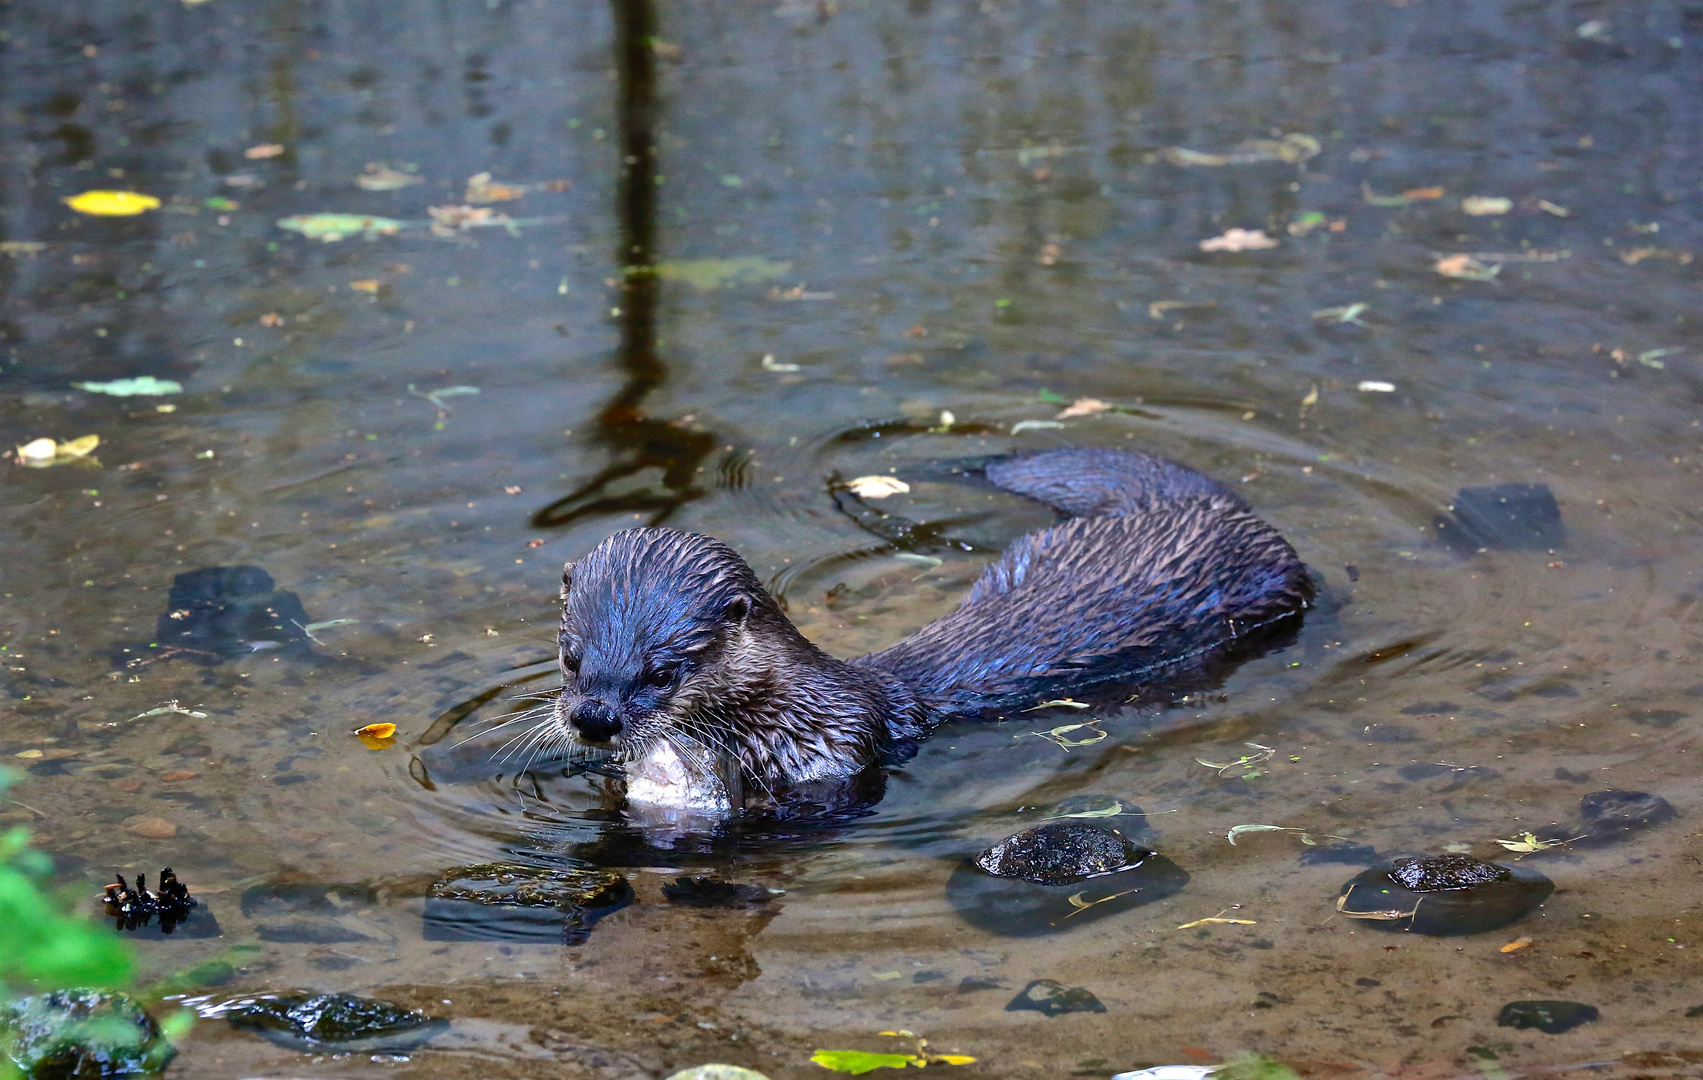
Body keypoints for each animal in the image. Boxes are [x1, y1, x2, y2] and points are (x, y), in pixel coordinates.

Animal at [551, 442, 1307, 810]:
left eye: (662, 670)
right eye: (571, 657)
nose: (594, 718)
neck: (791, 713)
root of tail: (1185, 502)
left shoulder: (840, 757)